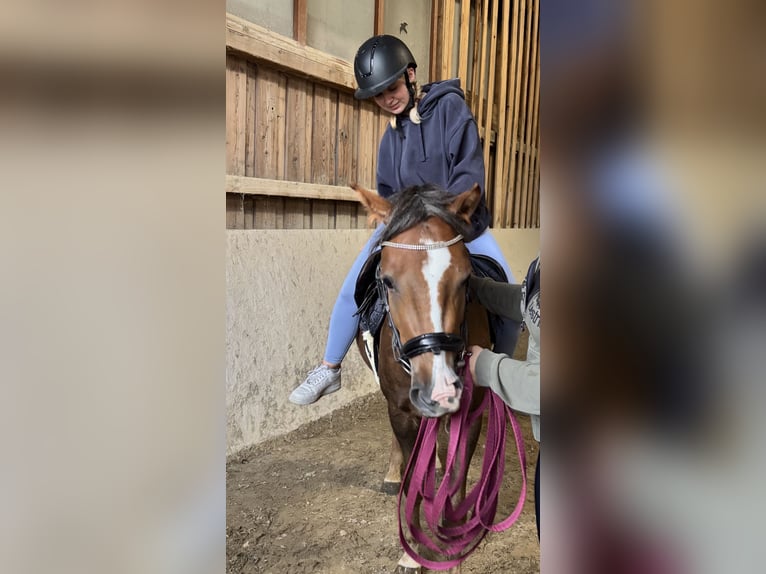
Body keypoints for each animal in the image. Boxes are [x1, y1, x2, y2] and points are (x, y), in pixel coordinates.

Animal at [352, 183, 495, 574]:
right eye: (387, 280)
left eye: (466, 279)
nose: (440, 387)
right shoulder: (401, 411)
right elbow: (415, 469)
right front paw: (411, 550)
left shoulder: (471, 411)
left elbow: (458, 471)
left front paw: (454, 540)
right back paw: (393, 471)